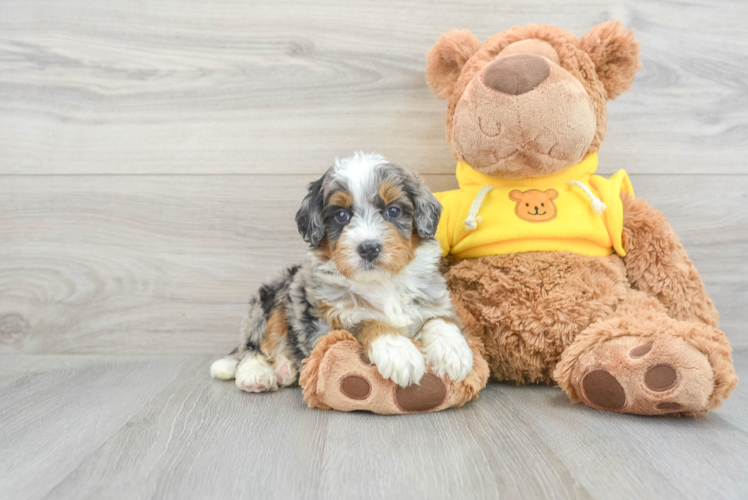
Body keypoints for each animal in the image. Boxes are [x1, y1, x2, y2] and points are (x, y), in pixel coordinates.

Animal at [209, 150, 474, 392]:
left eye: (393, 211)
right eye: (341, 215)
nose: (369, 248)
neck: (382, 283)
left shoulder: (434, 298)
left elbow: (440, 320)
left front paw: (453, 351)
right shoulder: (326, 324)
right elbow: (367, 321)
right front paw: (399, 352)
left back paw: (286, 369)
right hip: (272, 296)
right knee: (254, 346)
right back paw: (256, 375)